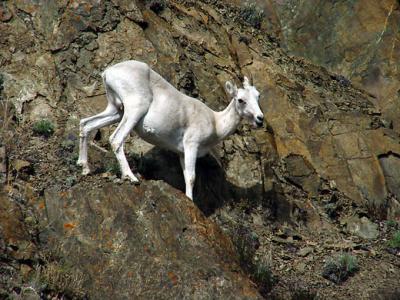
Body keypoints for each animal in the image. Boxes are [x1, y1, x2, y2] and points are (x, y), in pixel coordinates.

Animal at [76, 60, 264, 200]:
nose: (260, 119)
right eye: (241, 100)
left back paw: (84, 168)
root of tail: (108, 72)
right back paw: (131, 177)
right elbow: (191, 177)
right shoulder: (191, 146)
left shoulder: (181, 153)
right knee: (116, 139)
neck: (215, 122)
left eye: (258, 96)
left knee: (86, 124)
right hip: (134, 111)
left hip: (115, 111)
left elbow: (186, 177)